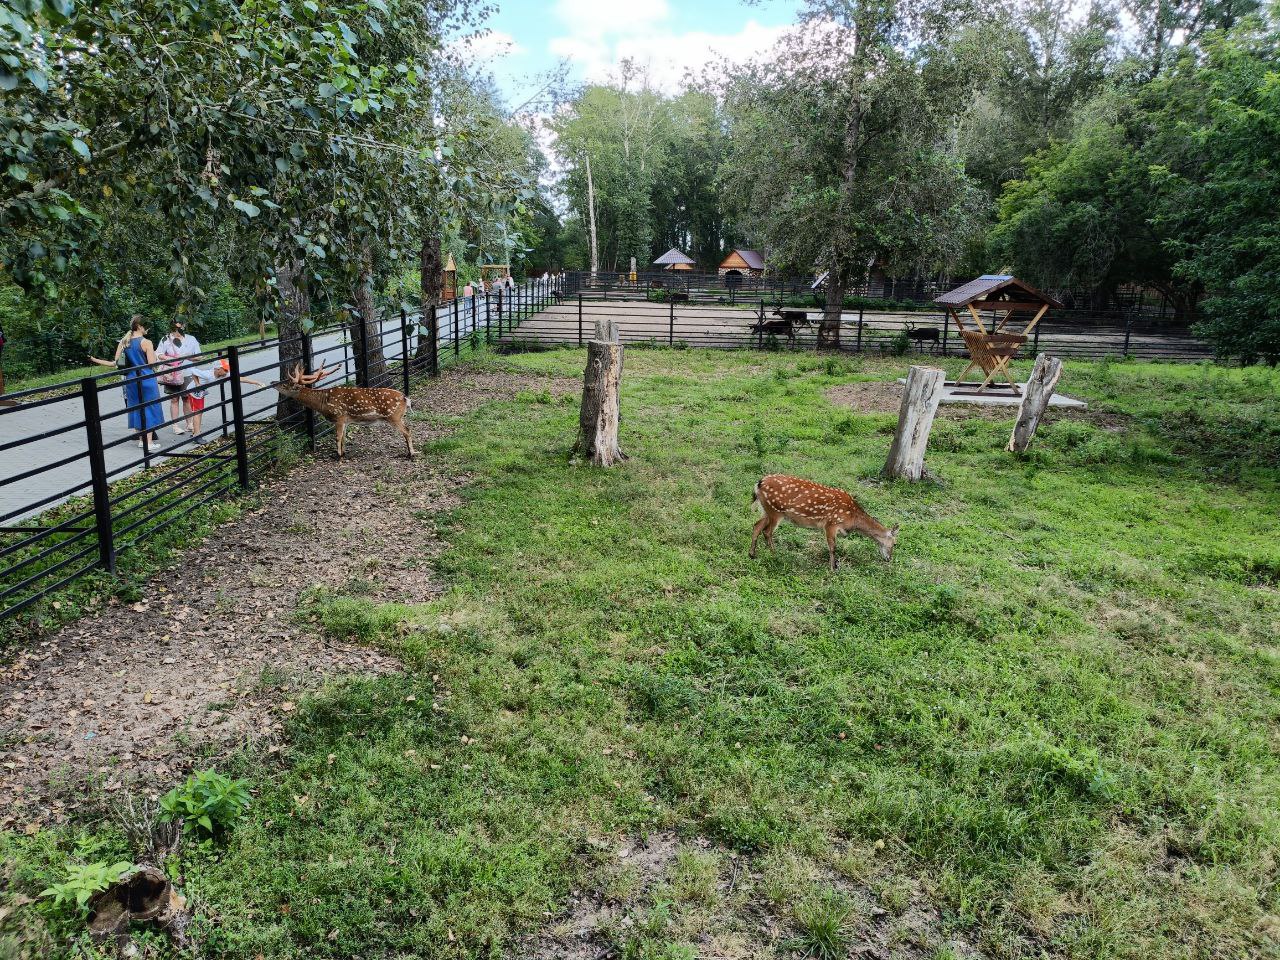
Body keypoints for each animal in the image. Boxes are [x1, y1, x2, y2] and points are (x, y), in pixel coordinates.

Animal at [272, 364, 414, 460]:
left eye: (286, 384)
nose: (273, 382)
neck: (323, 403)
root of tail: (405, 398)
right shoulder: (346, 420)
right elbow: (344, 437)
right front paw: (344, 453)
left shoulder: (339, 416)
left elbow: (337, 437)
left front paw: (338, 455)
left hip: (394, 416)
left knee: (407, 430)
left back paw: (411, 454)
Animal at [750, 474, 898, 570]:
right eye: (895, 544)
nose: (889, 559)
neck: (852, 518)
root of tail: (758, 484)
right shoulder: (831, 523)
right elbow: (833, 547)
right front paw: (833, 568)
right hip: (775, 511)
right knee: (767, 531)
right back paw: (775, 555)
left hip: (767, 510)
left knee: (756, 525)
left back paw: (752, 554)